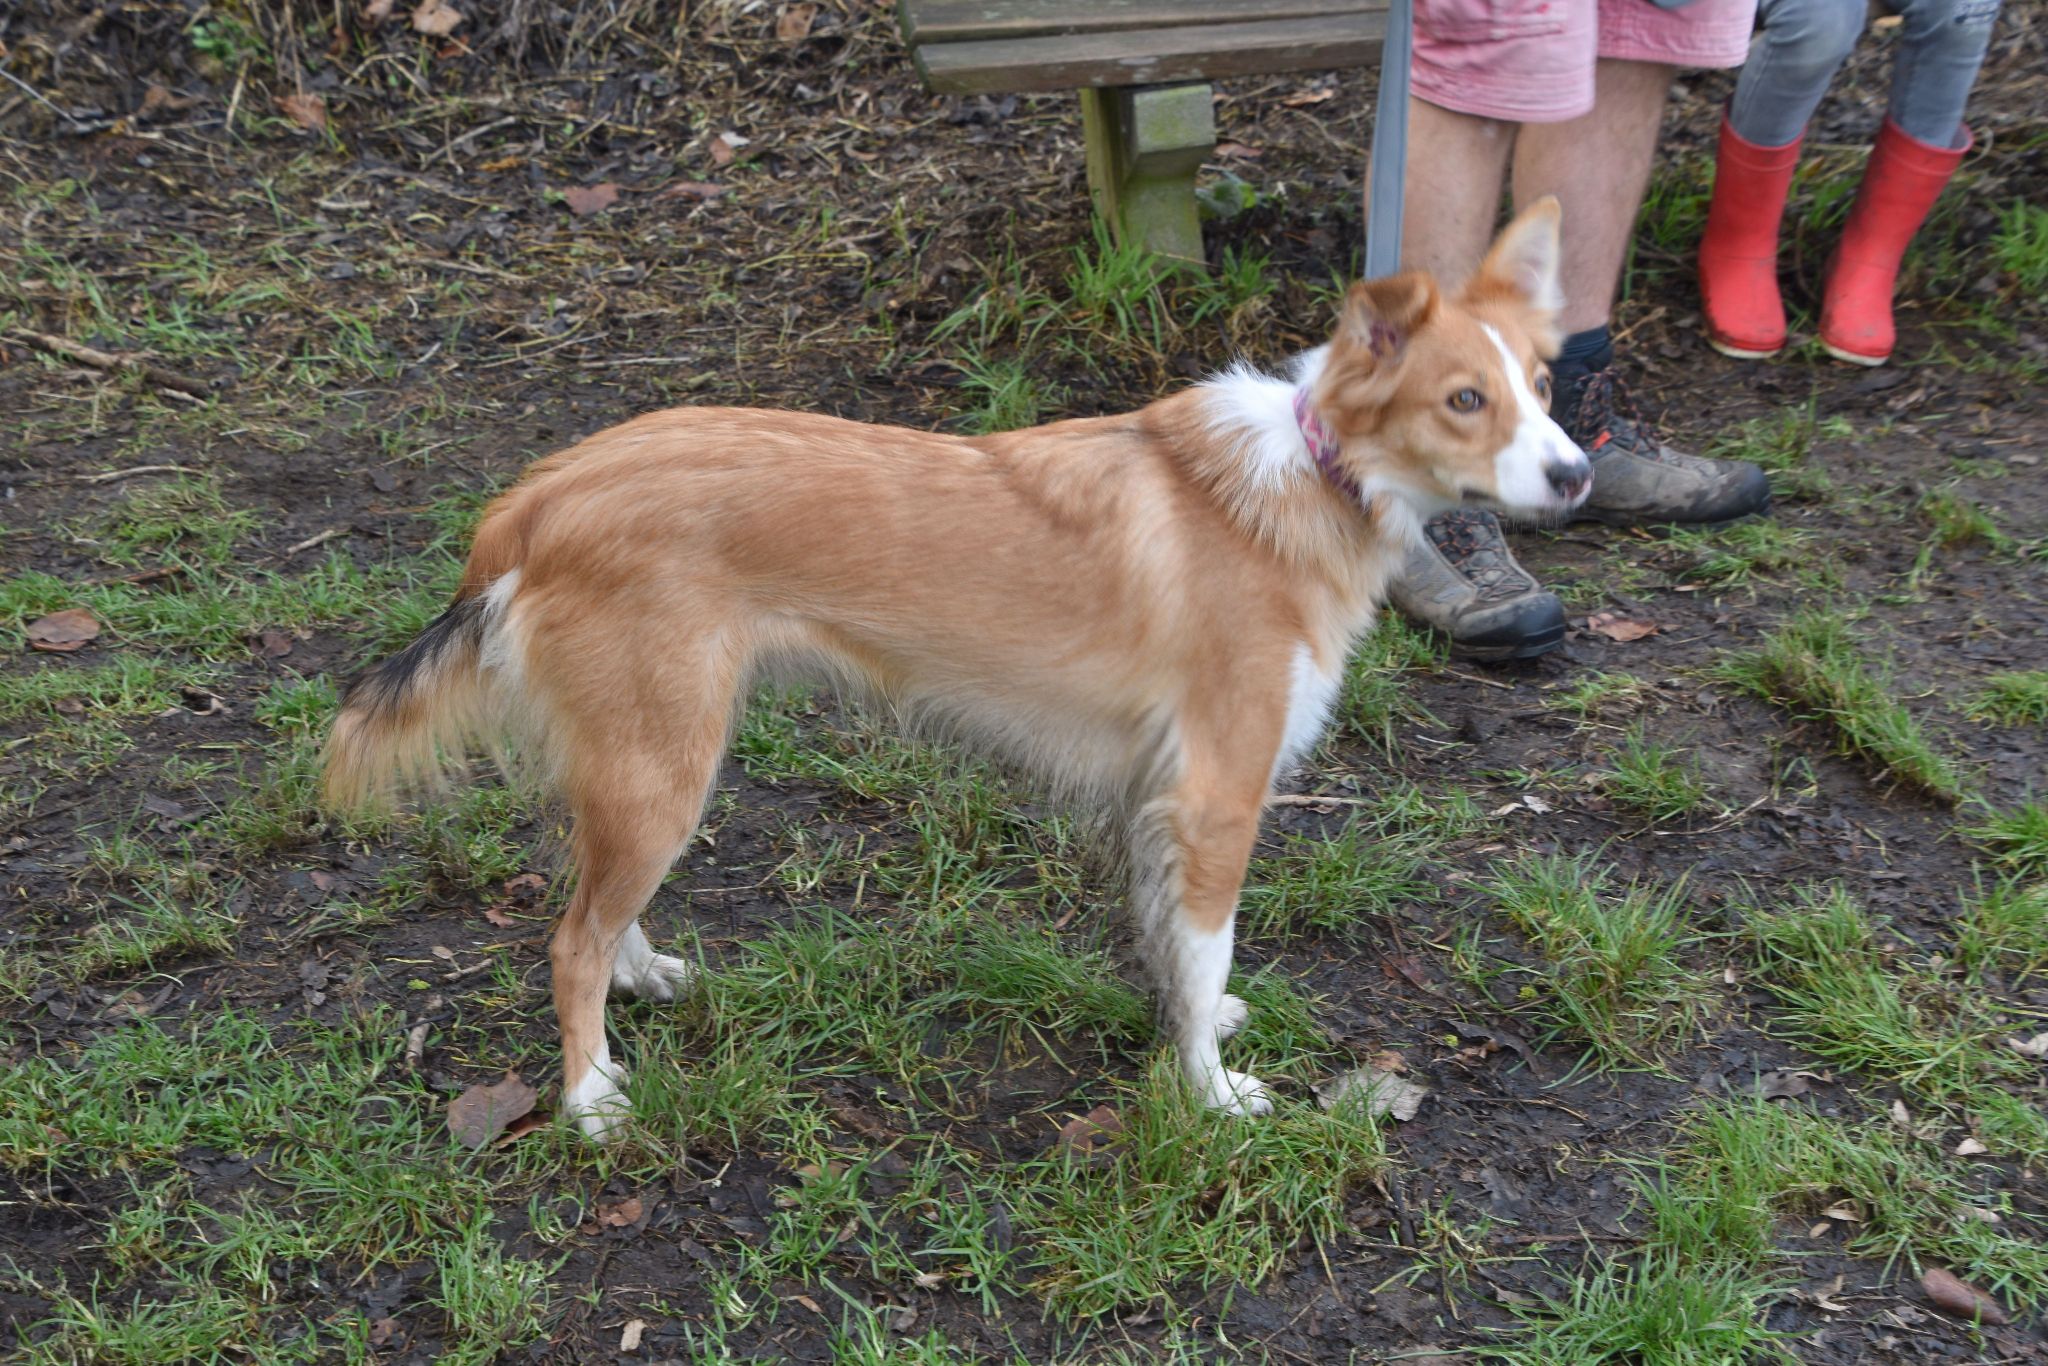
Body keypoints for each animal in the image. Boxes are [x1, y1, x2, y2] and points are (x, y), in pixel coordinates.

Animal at [323, 199, 1590, 1140]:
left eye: (1540, 384)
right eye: (1462, 401)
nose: (1576, 475)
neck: (1316, 478)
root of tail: (541, 494)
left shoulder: (1157, 797)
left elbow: (1170, 945)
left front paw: (1188, 1026)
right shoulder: (1218, 795)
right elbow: (1206, 938)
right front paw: (1208, 1095)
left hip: (639, 765)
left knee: (595, 905)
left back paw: (645, 978)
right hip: (665, 765)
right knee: (568, 938)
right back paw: (589, 1096)